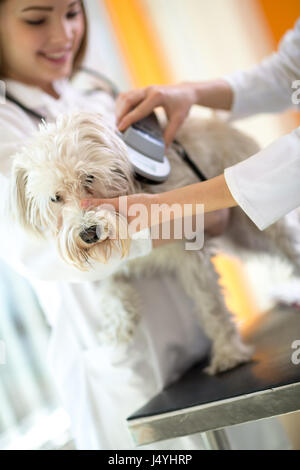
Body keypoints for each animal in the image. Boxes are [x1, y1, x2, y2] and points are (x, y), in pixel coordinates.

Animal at [9, 112, 300, 372]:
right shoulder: (109, 265)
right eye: (55, 198)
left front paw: (228, 352)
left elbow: (211, 306)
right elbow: (109, 288)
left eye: (89, 177)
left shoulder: (190, 255)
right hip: (242, 239)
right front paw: (119, 324)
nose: (89, 233)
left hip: (259, 226)